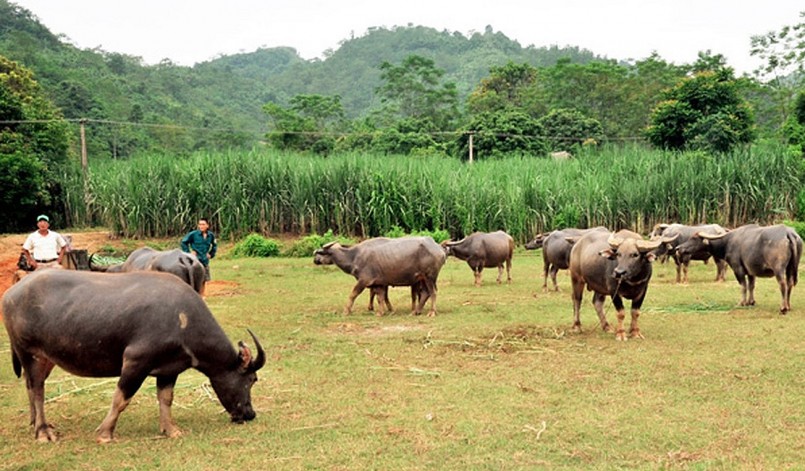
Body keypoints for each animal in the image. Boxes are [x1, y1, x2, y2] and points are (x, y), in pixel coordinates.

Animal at [3, 270, 266, 442]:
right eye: (251, 380)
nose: (250, 414)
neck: (182, 320)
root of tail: (11, 292)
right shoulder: (135, 362)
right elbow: (121, 399)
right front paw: (105, 433)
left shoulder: (169, 370)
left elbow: (165, 399)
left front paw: (170, 429)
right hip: (29, 352)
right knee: (37, 389)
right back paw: (43, 432)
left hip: (46, 358)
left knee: (30, 386)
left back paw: (35, 423)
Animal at [310, 236, 446, 318]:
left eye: (320, 253)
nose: (314, 260)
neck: (354, 256)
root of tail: (438, 248)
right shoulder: (378, 283)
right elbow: (380, 297)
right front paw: (380, 312)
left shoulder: (363, 280)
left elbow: (353, 294)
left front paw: (346, 311)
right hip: (422, 278)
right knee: (425, 293)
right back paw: (416, 311)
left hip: (429, 276)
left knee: (432, 292)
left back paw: (431, 312)